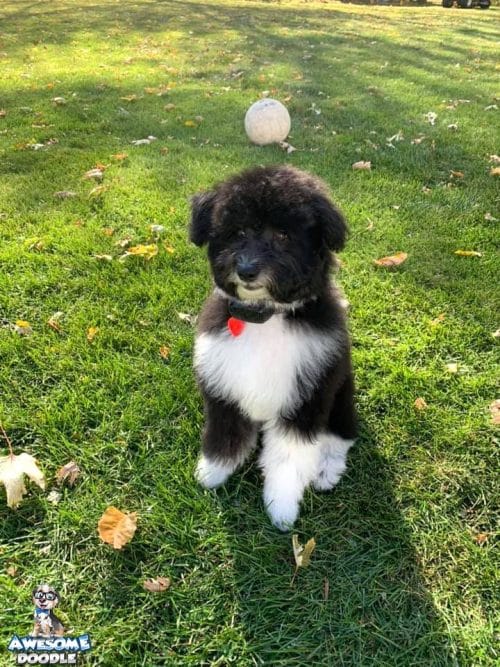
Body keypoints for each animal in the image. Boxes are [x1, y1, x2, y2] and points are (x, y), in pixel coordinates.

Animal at [189, 164, 358, 528]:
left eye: (282, 235)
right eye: (237, 232)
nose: (246, 270)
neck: (266, 319)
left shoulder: (306, 400)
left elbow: (289, 458)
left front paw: (281, 507)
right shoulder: (224, 388)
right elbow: (224, 433)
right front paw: (213, 472)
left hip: (341, 396)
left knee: (342, 436)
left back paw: (325, 471)